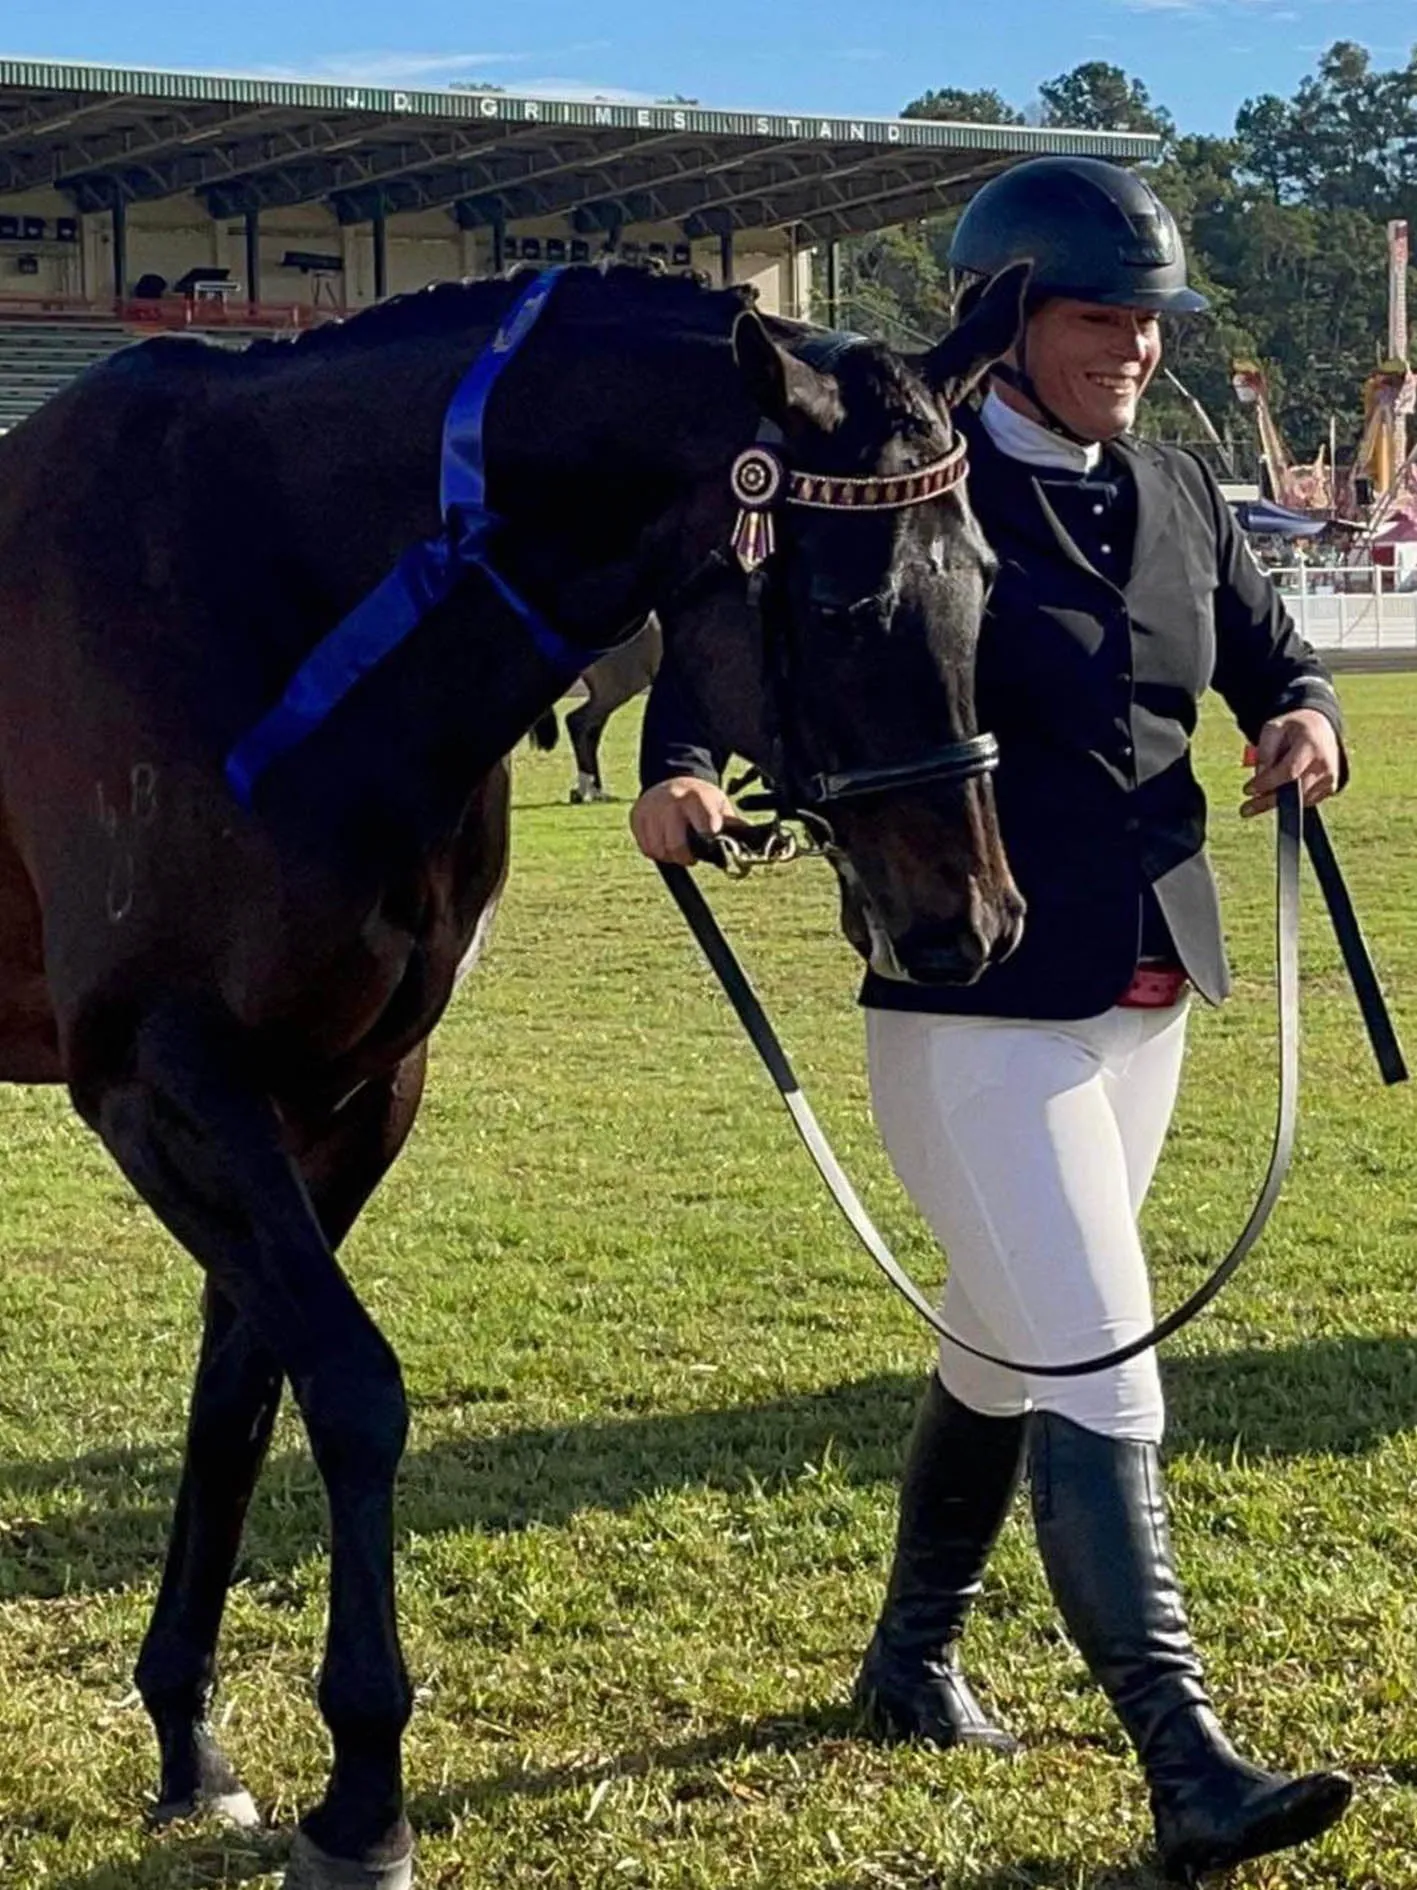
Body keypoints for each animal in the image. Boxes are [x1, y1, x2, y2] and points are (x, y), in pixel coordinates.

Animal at [0, 266, 1027, 1890]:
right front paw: (363, 1788)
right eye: (841, 603)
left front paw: (190, 1741)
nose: (971, 925)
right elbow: (351, 1388)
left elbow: (241, 1400)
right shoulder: (163, 1081)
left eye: (984, 578)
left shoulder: (345, 1092)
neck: (246, 585)